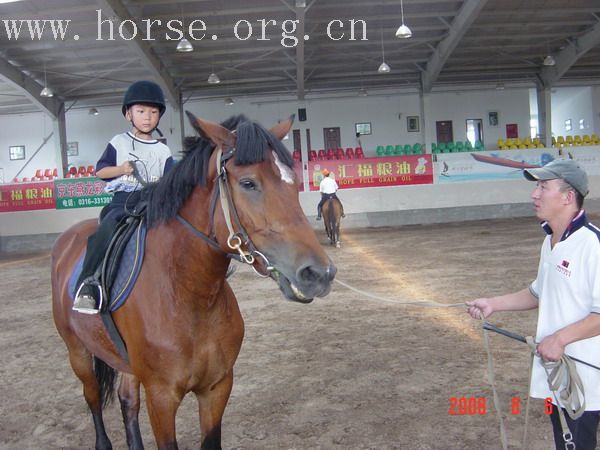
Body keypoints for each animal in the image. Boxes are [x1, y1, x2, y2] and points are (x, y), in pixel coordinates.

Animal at [50, 112, 338, 450]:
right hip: (77, 351)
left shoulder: (217, 386)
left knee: (126, 399)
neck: (190, 295)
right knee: (93, 396)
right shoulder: (161, 396)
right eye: (248, 182)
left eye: (294, 183)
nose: (318, 274)